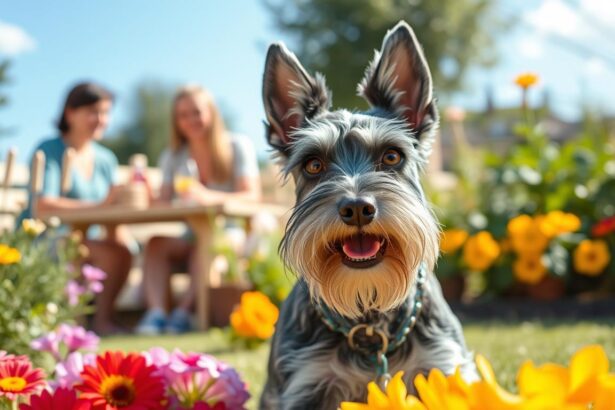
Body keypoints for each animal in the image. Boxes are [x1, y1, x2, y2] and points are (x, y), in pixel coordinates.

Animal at [260, 20, 476, 408]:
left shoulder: (442, 367)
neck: (370, 318)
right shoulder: (307, 384)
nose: (358, 207)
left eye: (391, 156)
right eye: (313, 164)